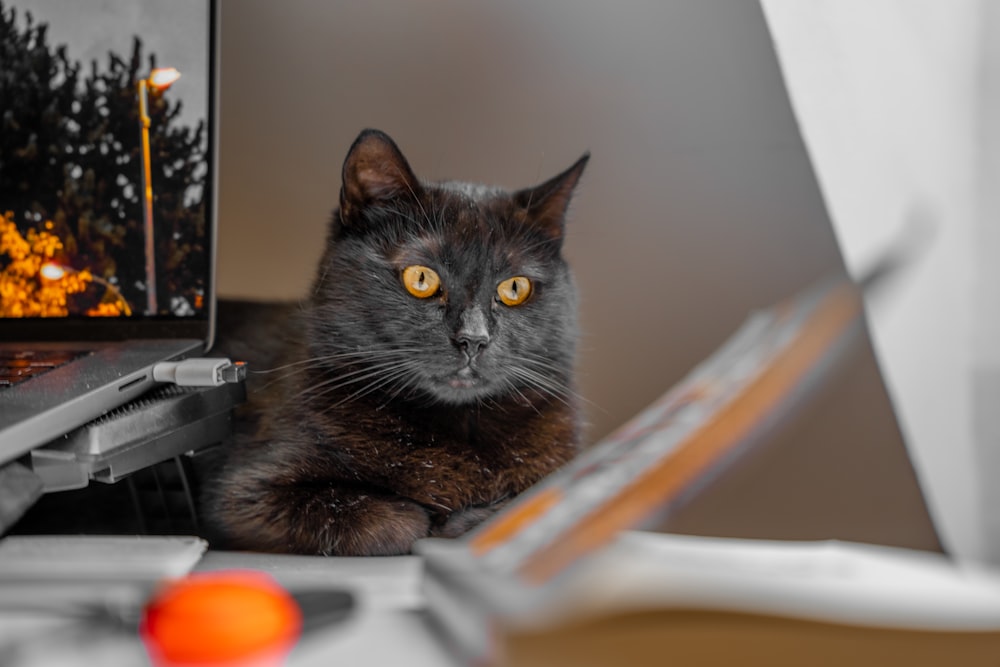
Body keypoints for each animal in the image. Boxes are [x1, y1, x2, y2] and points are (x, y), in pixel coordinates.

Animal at [202, 130, 584, 560]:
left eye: (515, 288)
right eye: (421, 278)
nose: (473, 339)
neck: (456, 428)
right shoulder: (242, 495)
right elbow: (396, 521)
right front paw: (438, 522)